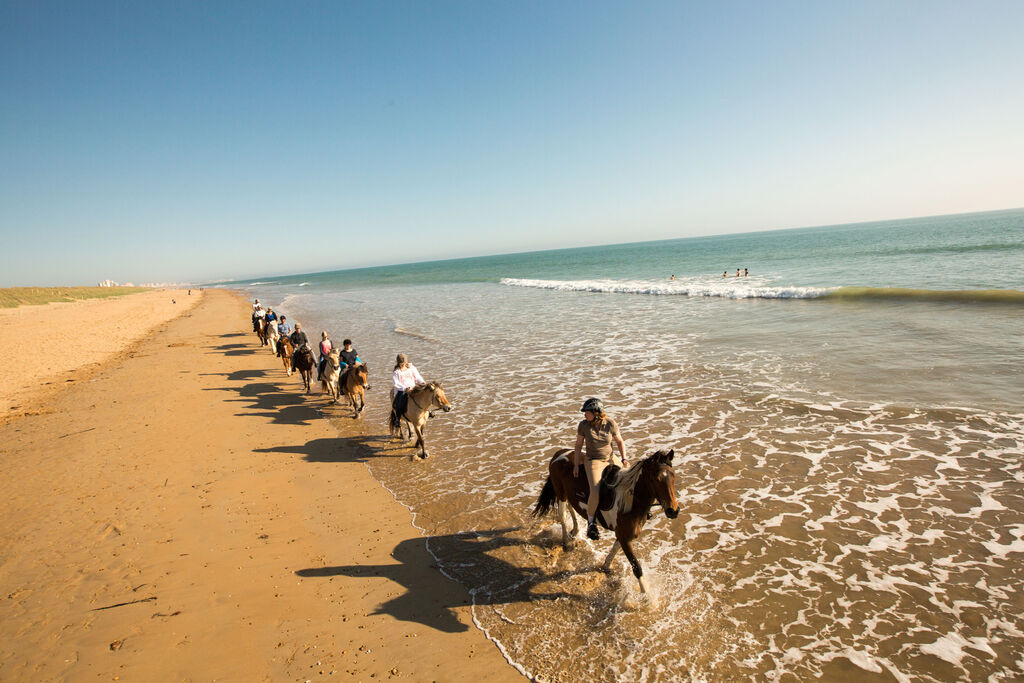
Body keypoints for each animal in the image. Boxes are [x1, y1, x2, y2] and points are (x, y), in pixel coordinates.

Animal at [536, 448, 679, 593]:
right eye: (656, 479)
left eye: (673, 476)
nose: (673, 510)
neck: (630, 501)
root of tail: (559, 453)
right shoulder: (624, 536)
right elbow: (636, 568)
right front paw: (646, 596)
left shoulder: (623, 534)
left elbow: (615, 548)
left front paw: (606, 565)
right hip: (561, 493)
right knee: (563, 516)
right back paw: (566, 542)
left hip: (569, 495)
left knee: (571, 508)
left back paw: (575, 531)